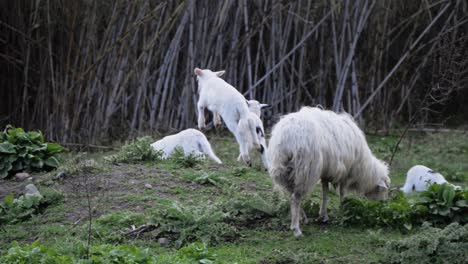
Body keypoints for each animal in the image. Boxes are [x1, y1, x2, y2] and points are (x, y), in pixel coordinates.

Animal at [266, 107, 392, 237]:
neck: (364, 169)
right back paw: (296, 229)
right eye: (384, 189)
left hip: (282, 169)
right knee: (296, 197)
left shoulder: (327, 171)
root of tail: (286, 137)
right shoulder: (345, 172)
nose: (383, 203)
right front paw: (343, 210)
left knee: (290, 194)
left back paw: (303, 218)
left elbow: (325, 192)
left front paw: (323, 216)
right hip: (305, 169)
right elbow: (342, 193)